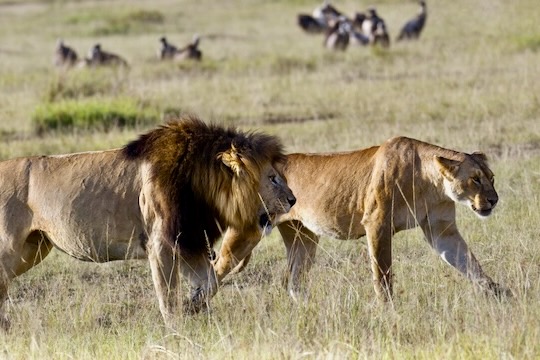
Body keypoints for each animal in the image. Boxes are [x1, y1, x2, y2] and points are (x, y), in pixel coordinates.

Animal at [0, 116, 296, 330]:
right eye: (272, 178)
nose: (293, 200)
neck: (202, 185)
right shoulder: (162, 244)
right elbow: (168, 297)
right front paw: (177, 331)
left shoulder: (190, 242)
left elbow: (210, 283)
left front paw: (194, 307)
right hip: (11, 248)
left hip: (33, 248)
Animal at [215, 136, 510, 302]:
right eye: (475, 179)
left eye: (492, 178)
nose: (494, 200)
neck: (431, 183)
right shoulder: (377, 223)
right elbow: (383, 274)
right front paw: (387, 309)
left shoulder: (442, 229)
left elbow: (468, 261)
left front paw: (498, 293)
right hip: (247, 233)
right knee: (217, 268)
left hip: (303, 239)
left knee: (291, 281)